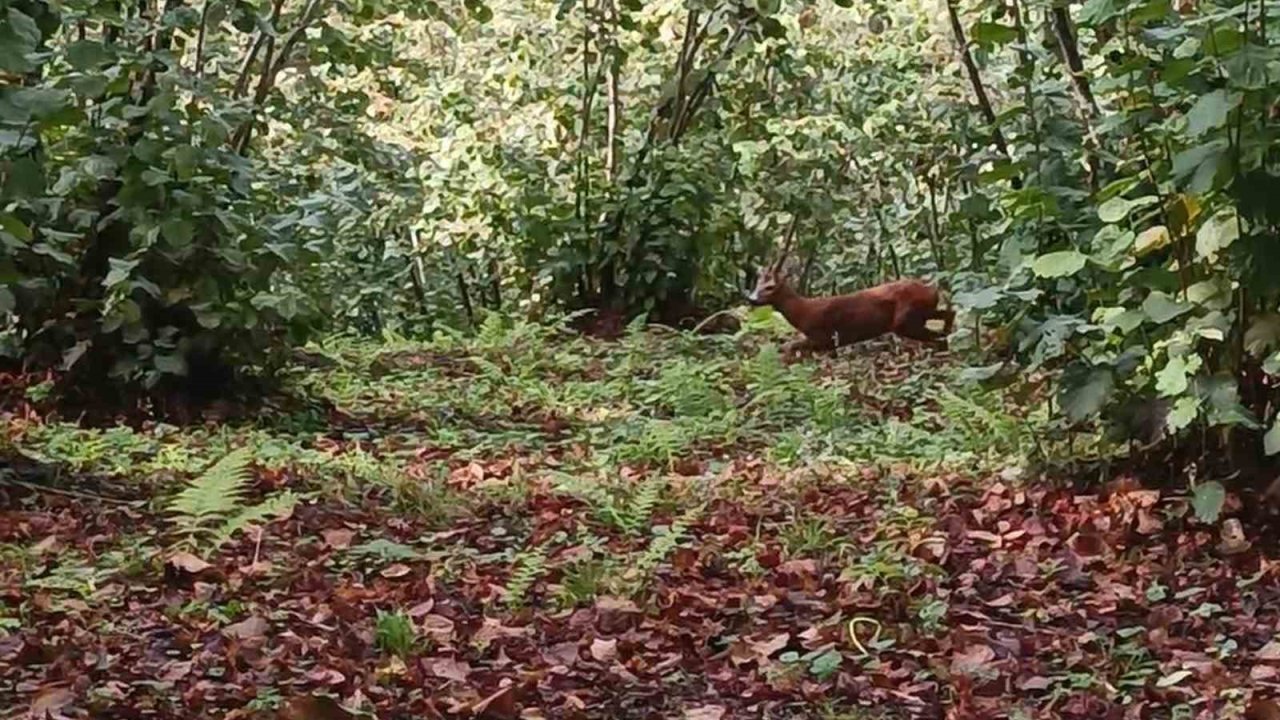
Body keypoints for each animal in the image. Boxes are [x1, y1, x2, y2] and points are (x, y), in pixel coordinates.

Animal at [747, 219, 957, 353]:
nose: (752, 298)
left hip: (905, 319)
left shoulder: (824, 337)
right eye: (757, 283)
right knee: (949, 314)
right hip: (922, 312)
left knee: (936, 334)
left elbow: (791, 346)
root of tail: (933, 290)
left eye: (770, 287)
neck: (802, 312)